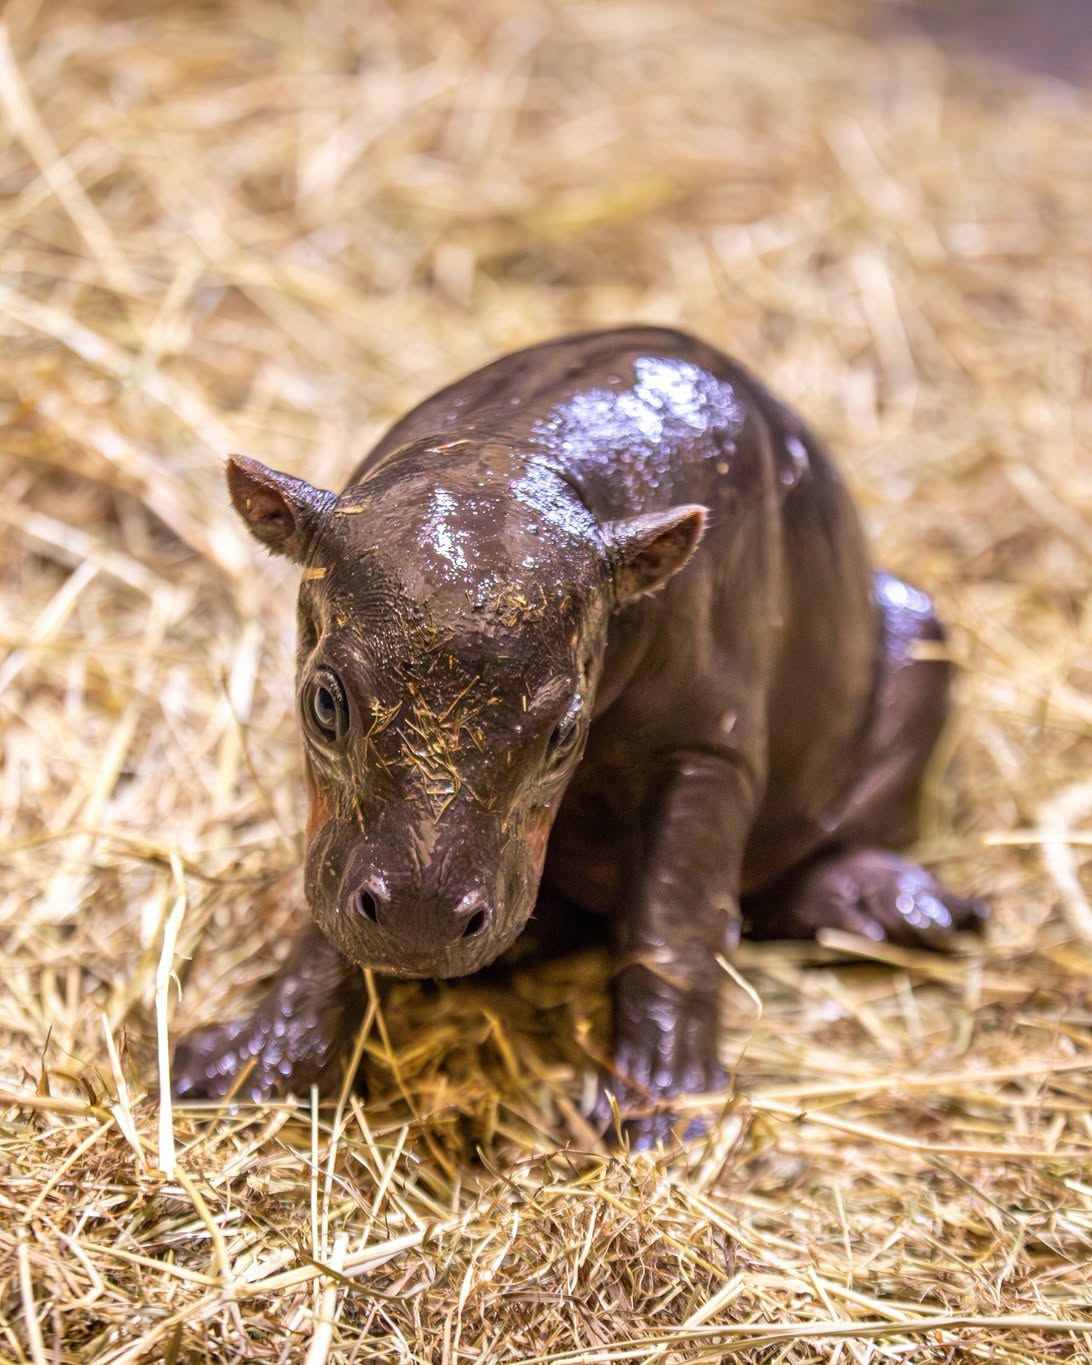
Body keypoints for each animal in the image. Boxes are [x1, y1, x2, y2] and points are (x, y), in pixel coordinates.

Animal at [172, 326, 984, 1145]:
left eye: (565, 733)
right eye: (324, 702)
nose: (418, 919)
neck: (515, 454)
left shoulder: (707, 744)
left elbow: (677, 913)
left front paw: (660, 1112)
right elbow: (325, 925)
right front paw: (232, 1074)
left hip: (919, 640)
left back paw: (898, 909)